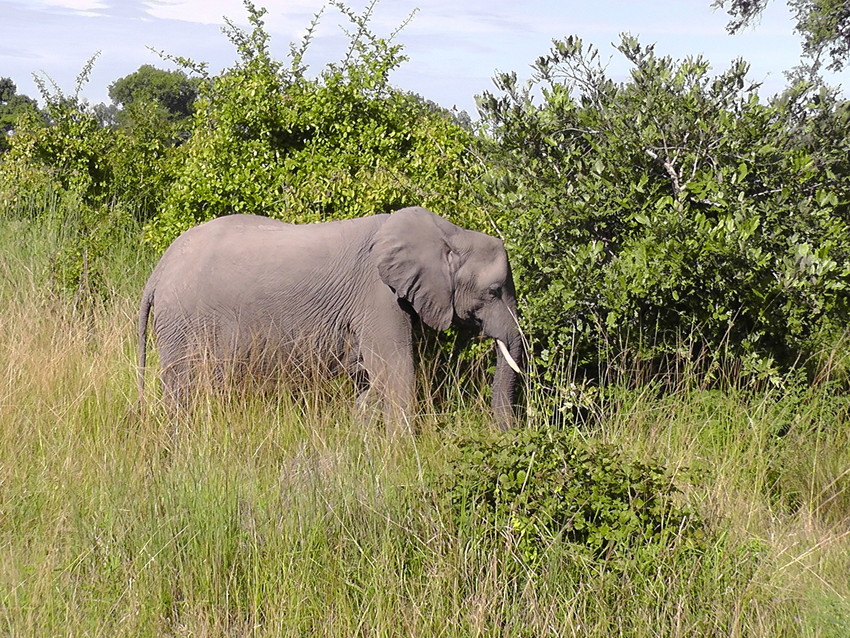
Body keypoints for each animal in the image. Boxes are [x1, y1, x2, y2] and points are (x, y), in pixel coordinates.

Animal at [137, 208, 524, 432]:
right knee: (183, 389)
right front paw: (400, 451)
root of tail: (158, 271)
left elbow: (370, 377)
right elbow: (394, 369)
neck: (448, 233)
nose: (506, 434)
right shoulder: (376, 294)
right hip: (182, 323)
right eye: (493, 292)